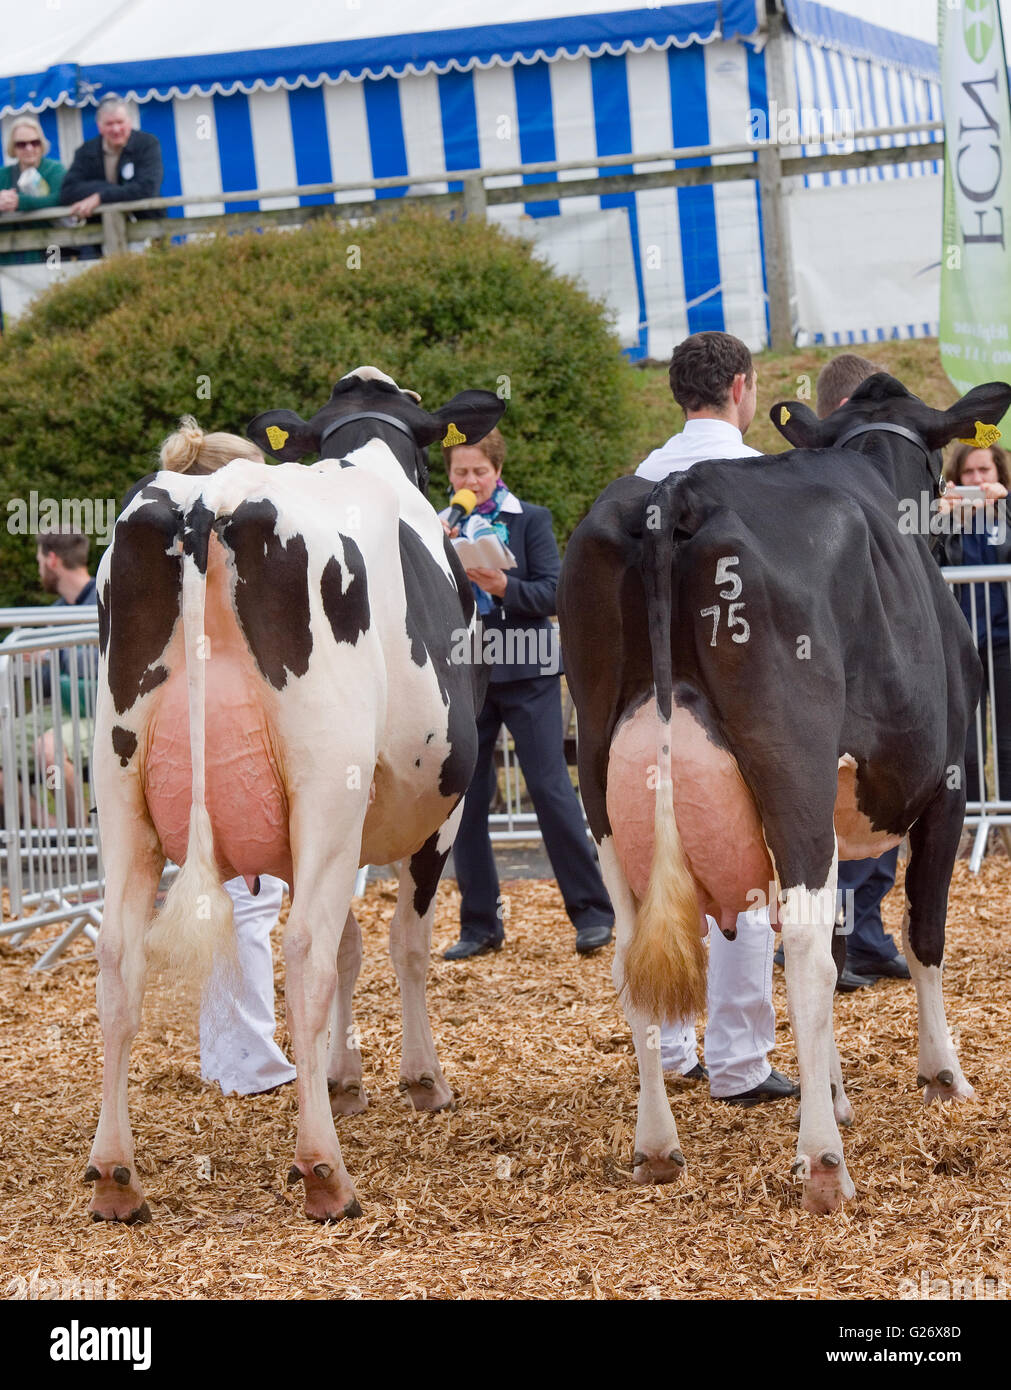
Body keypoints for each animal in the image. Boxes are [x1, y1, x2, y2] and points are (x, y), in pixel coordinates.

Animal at [556, 375, 1011, 1212]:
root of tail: (676, 495)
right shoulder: (947, 786)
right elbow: (919, 934)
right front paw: (940, 1076)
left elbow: (840, 939)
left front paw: (832, 1090)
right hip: (789, 761)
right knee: (799, 949)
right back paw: (823, 1163)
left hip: (600, 775)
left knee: (633, 955)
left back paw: (656, 1147)